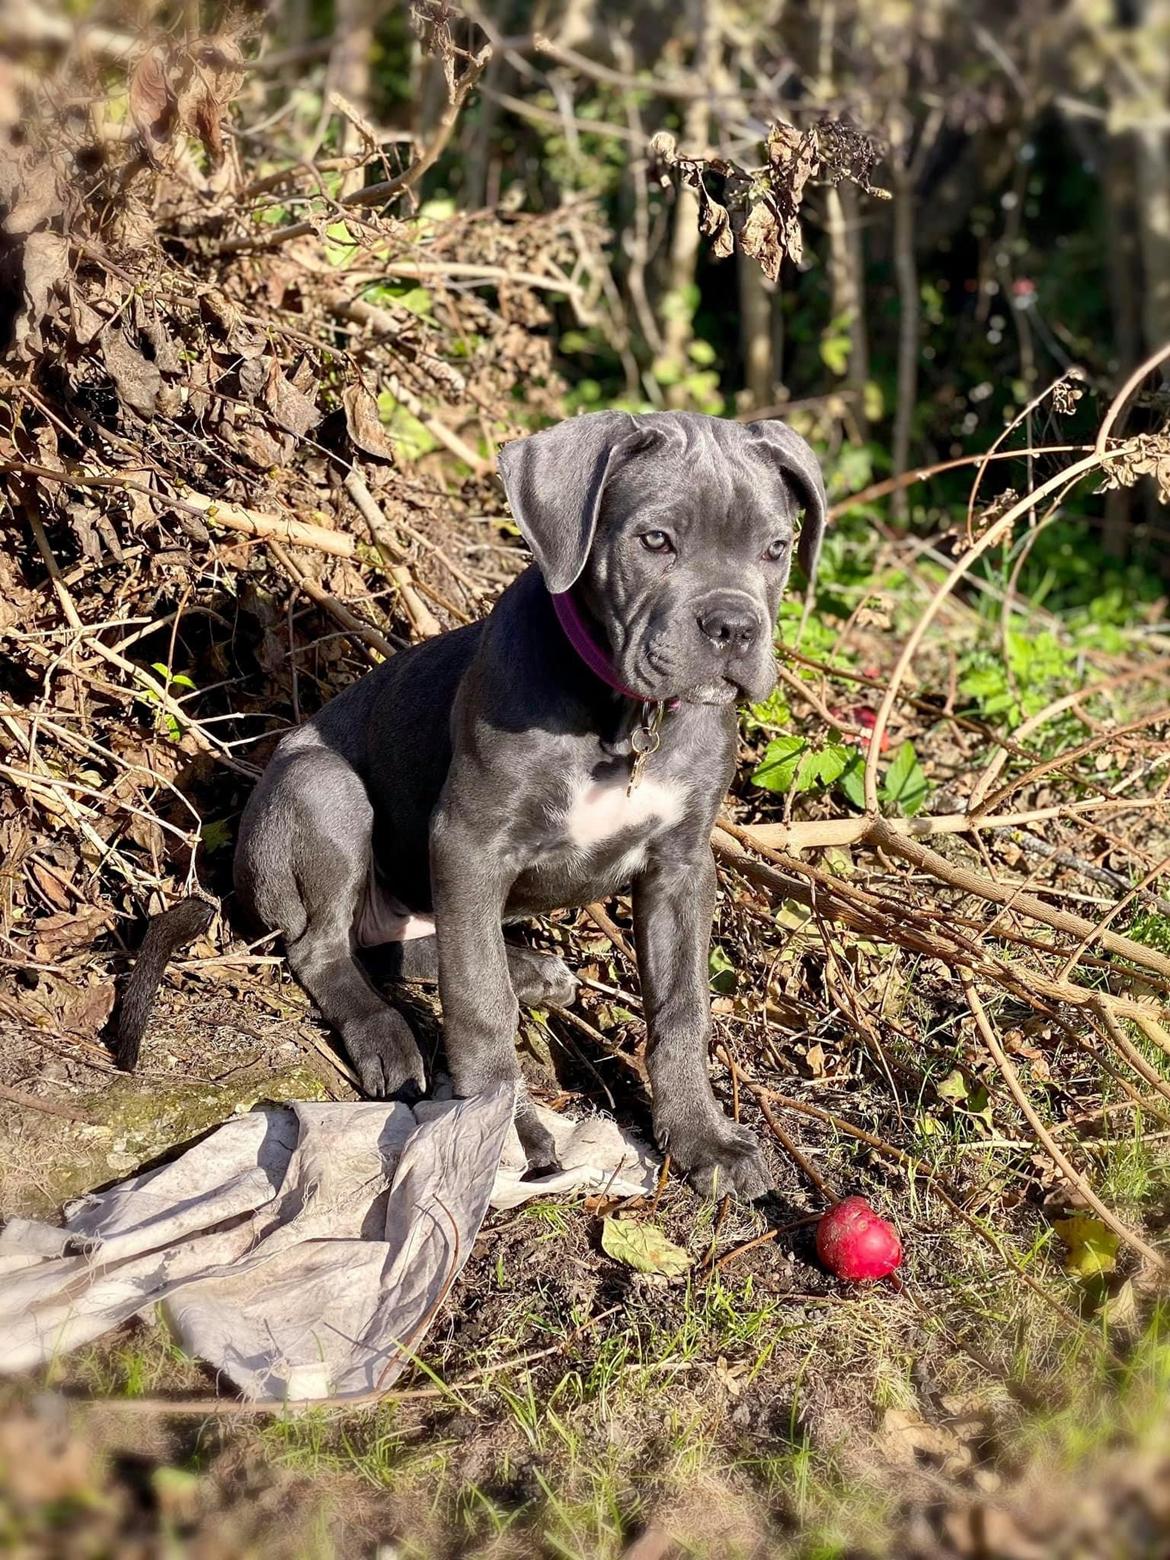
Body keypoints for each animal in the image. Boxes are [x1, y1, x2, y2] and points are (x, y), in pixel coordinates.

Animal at [124, 408, 829, 1198]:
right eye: (655, 541)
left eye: (775, 550)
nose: (734, 627)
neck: (623, 716)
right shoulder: (470, 844)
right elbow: (480, 1005)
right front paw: (499, 1132)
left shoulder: (680, 866)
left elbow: (681, 1008)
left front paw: (702, 1136)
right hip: (324, 790)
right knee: (330, 948)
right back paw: (388, 1033)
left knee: (407, 946)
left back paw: (531, 972)